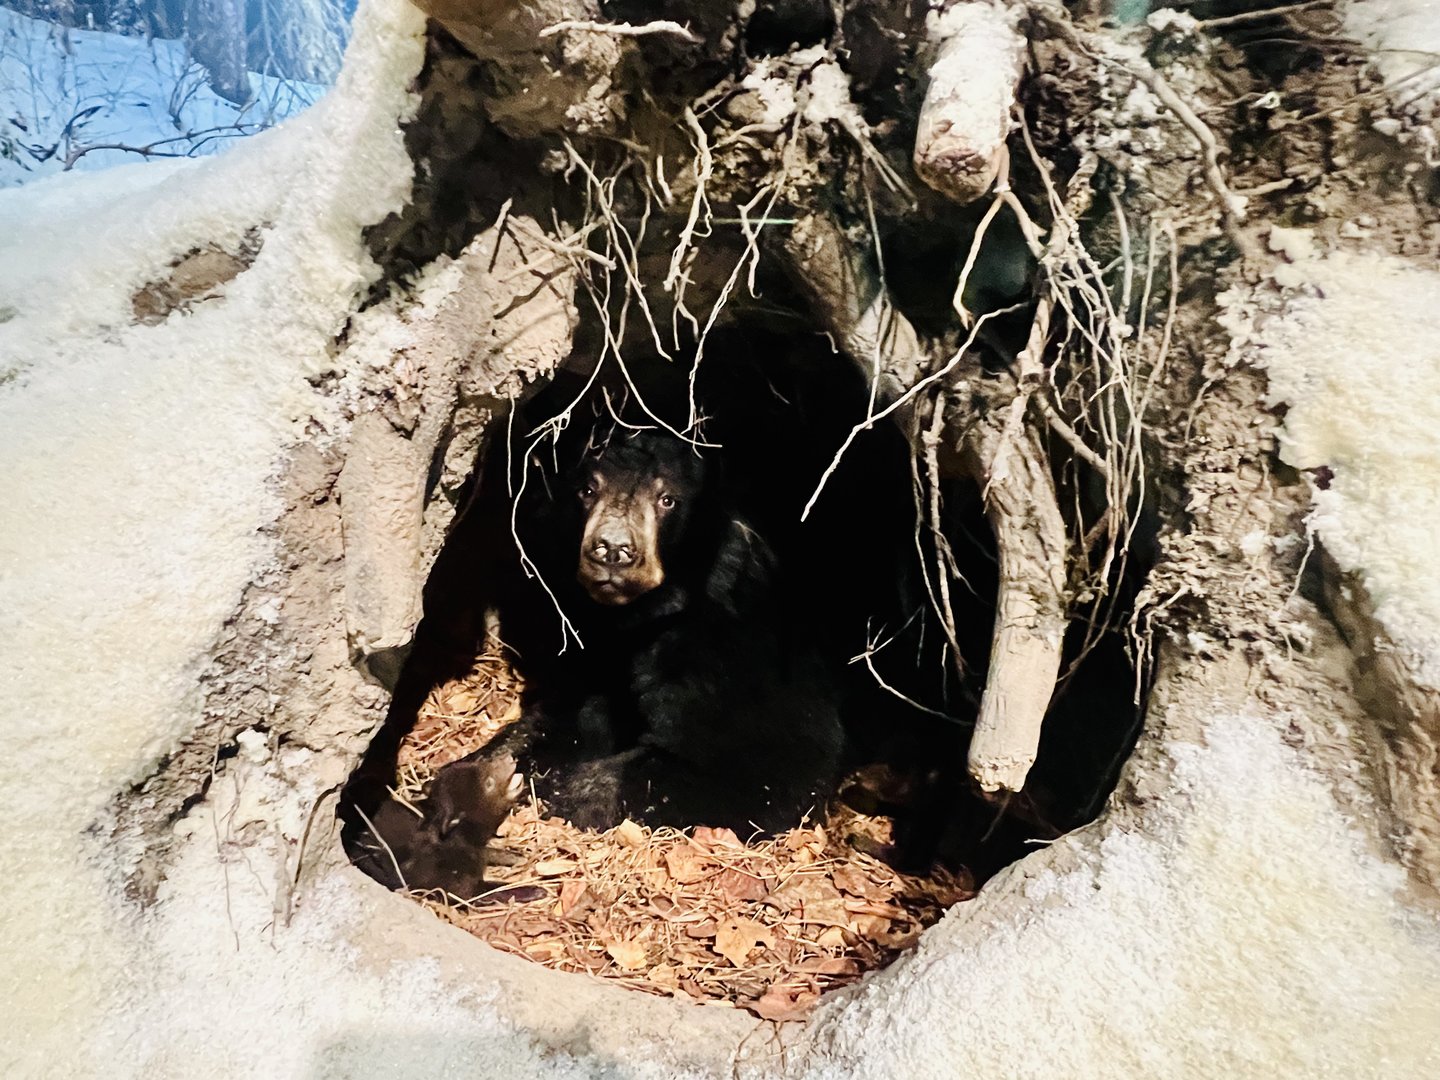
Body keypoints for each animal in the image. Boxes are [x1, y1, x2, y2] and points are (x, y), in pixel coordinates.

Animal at [479, 425, 847, 835]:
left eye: (667, 499)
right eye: (587, 490)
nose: (612, 550)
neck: (642, 618)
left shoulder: (734, 651)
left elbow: (764, 762)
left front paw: (560, 792)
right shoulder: (593, 649)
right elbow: (559, 715)